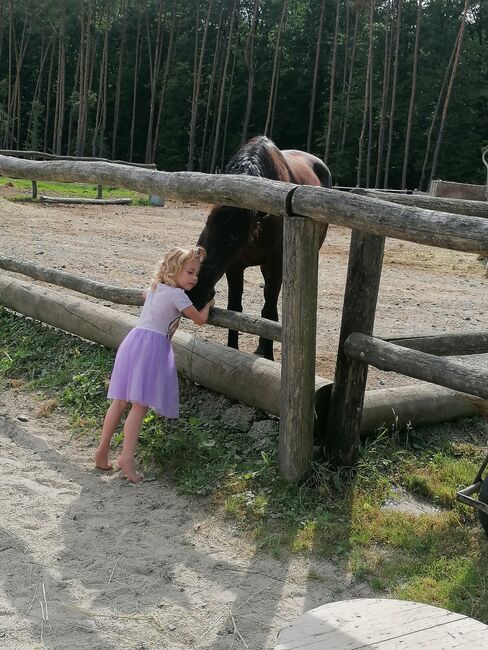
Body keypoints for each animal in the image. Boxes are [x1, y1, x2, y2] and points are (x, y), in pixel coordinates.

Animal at [188, 135, 332, 360]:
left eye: (234, 236)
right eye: (207, 223)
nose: (195, 293)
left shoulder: (275, 267)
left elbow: (268, 313)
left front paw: (268, 355)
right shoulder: (234, 267)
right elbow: (235, 309)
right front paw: (232, 349)